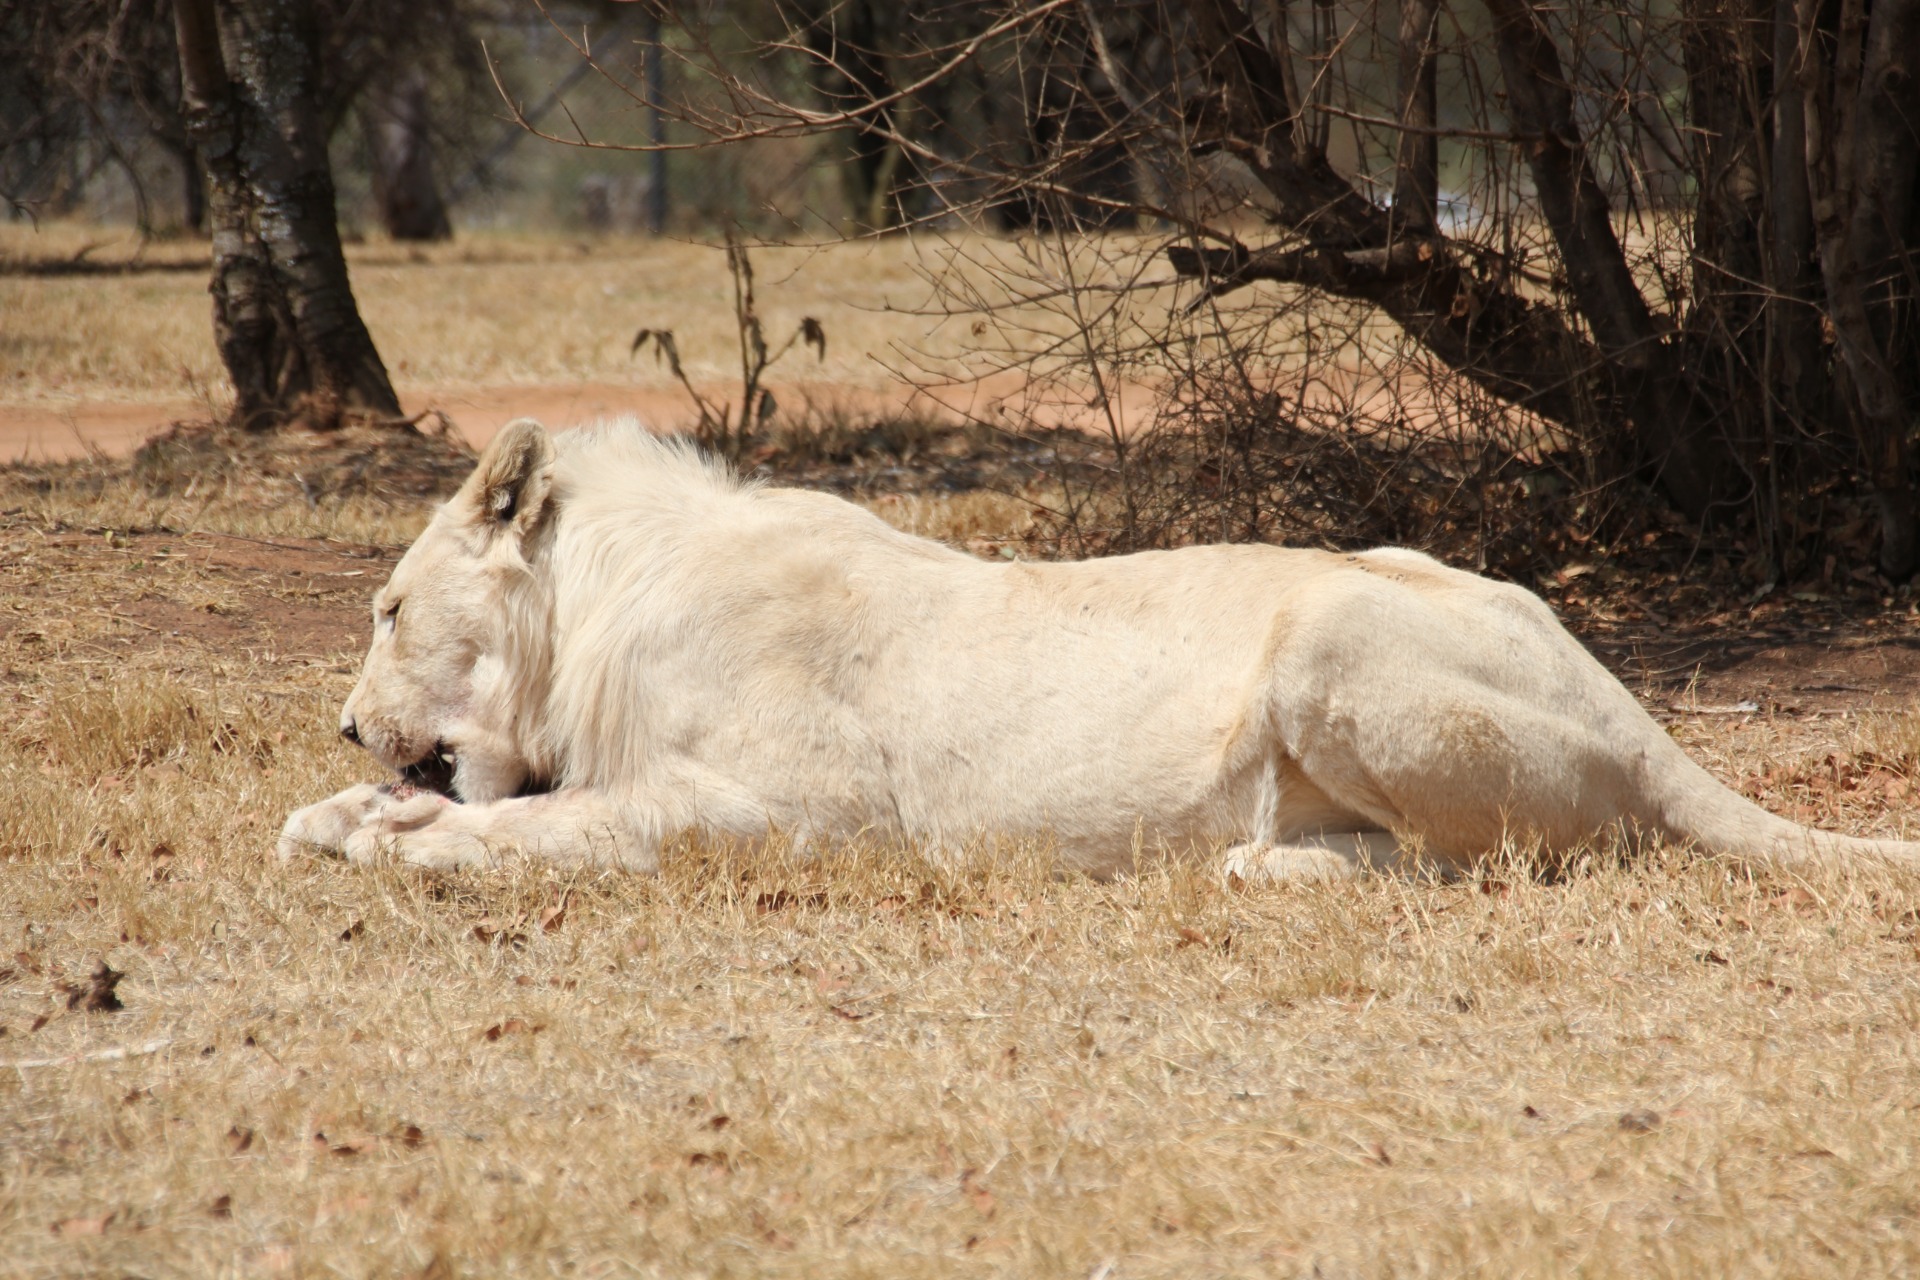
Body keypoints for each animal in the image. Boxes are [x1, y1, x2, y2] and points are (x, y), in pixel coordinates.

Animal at [278, 416, 1920, 880]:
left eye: (386, 611)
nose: (350, 725)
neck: (598, 611)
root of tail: (1627, 701)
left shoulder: (814, 815)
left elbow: (572, 827)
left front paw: (410, 839)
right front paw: (339, 812)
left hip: (1327, 635)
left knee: (1509, 858)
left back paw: (1260, 867)